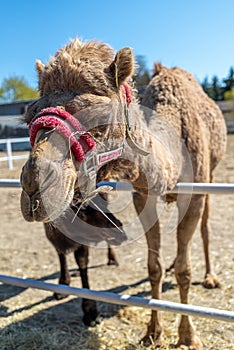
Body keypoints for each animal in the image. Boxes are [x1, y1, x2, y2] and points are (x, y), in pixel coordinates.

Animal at [20, 37, 227, 348]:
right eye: (29, 115)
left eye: (98, 114)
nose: (34, 186)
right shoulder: (143, 193)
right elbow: (153, 267)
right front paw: (152, 332)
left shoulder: (194, 192)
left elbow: (185, 271)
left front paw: (187, 336)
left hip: (211, 174)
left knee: (205, 227)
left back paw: (211, 276)